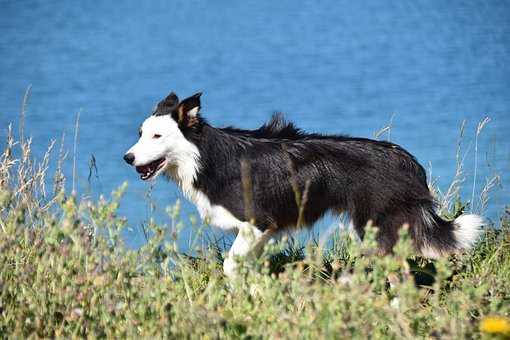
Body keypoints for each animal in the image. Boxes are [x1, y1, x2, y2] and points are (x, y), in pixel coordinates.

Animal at [125, 91, 484, 278]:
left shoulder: (256, 222)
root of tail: (408, 161)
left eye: (157, 136)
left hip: (379, 229)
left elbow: (230, 264)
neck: (205, 156)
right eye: (140, 133)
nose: (127, 158)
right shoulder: (263, 232)